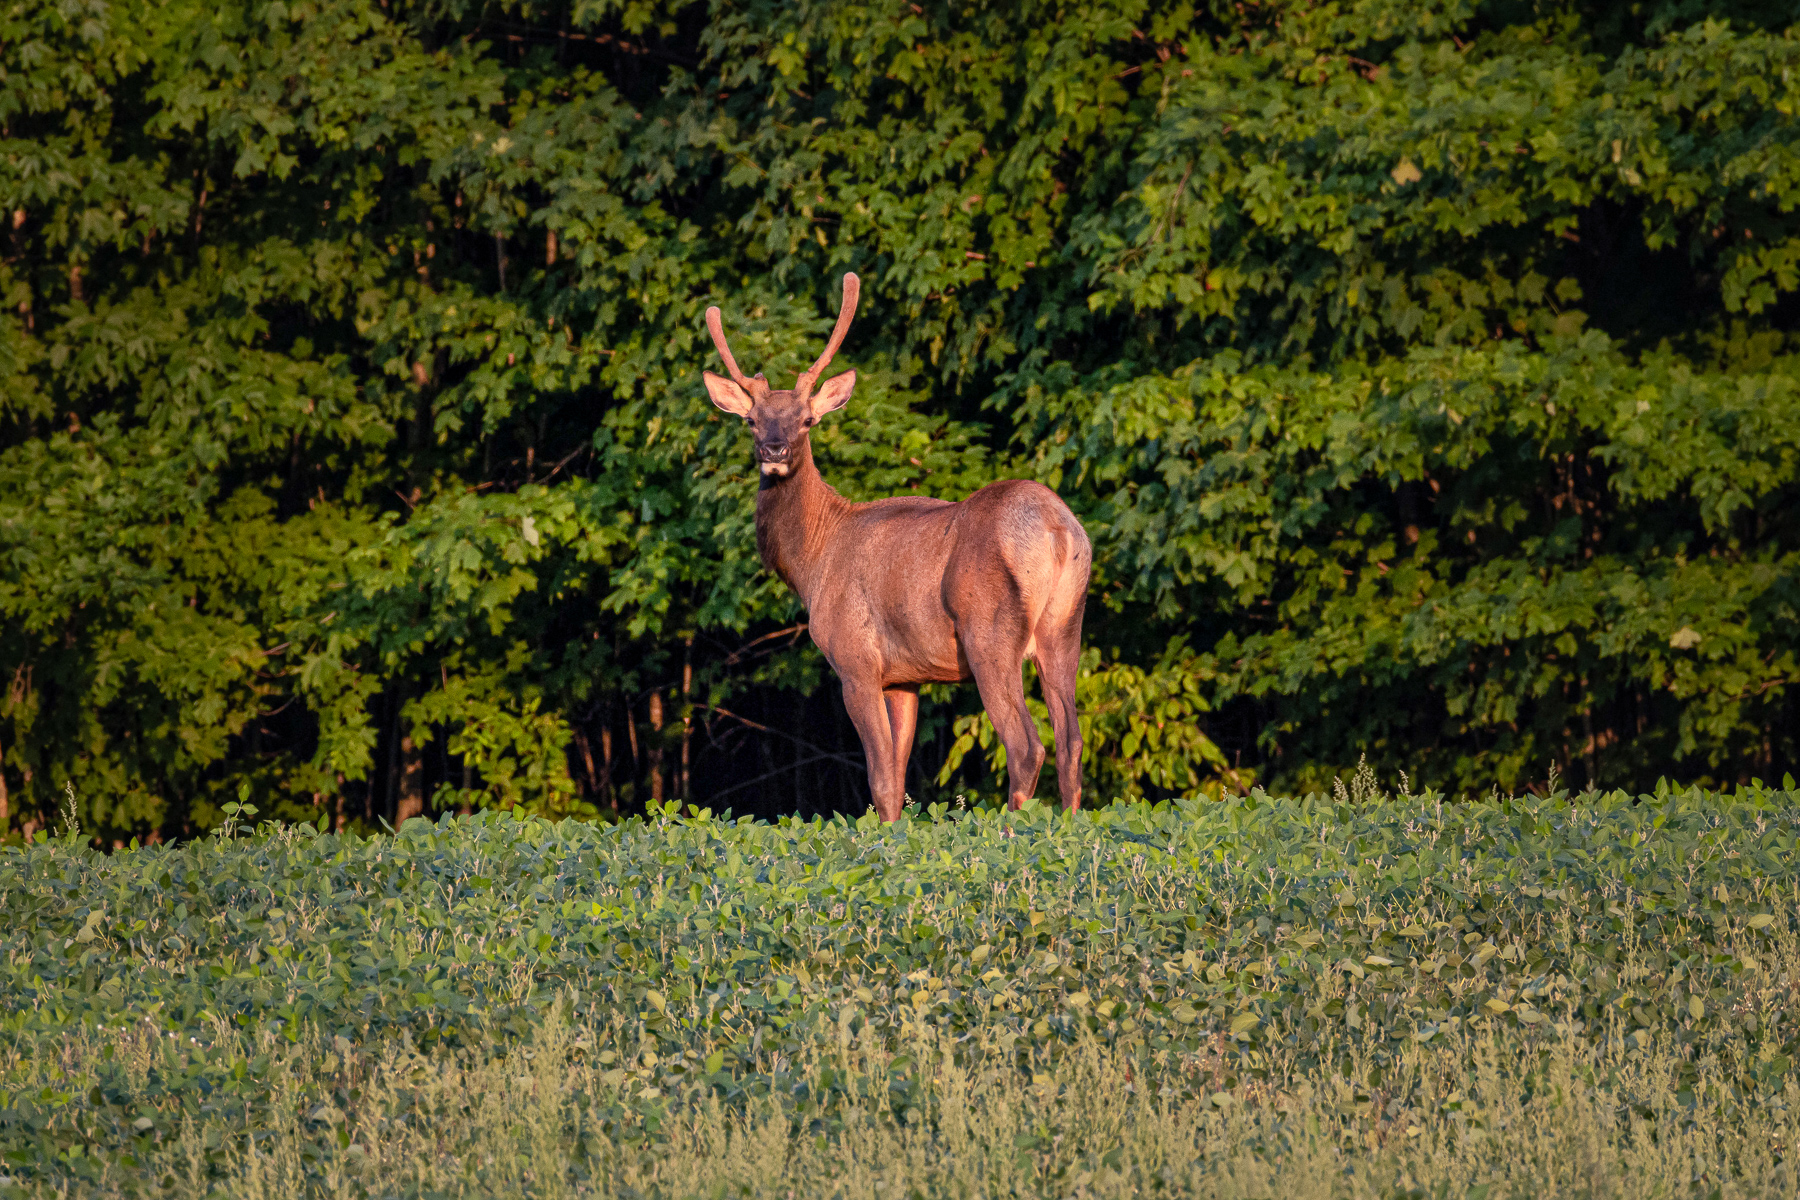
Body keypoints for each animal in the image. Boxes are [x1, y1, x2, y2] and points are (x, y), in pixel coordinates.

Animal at [702, 272, 1091, 822]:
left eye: (807, 420)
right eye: (752, 420)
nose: (775, 449)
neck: (812, 562)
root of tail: (1058, 531)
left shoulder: (856, 660)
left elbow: (881, 781)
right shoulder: (905, 677)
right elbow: (900, 777)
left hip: (989, 632)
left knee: (1026, 744)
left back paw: (1014, 833)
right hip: (1065, 625)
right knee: (1072, 741)